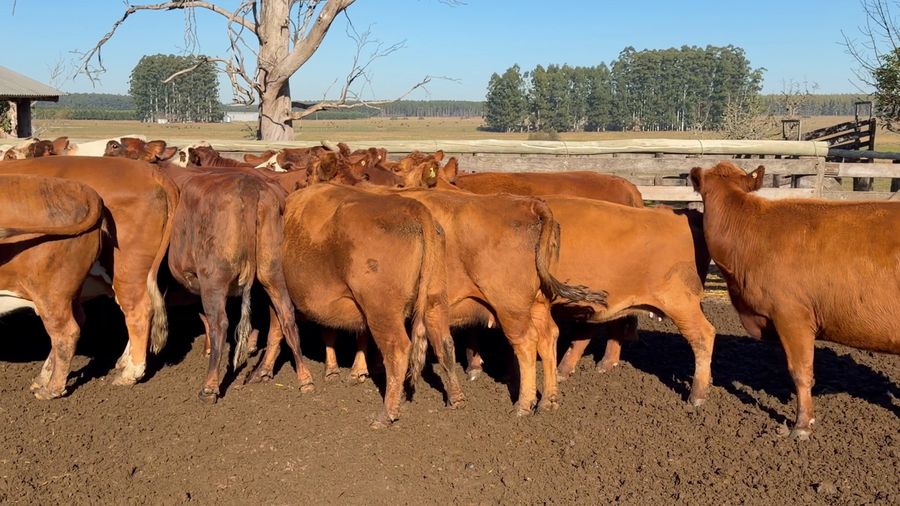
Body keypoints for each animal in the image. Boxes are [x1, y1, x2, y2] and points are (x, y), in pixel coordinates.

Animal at [167, 171, 309, 402]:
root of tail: (249, 185)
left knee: (219, 324)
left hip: (213, 280)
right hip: (272, 273)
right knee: (286, 316)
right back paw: (303, 379)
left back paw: (209, 388)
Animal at [248, 182, 466, 428]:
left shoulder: (274, 289)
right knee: (444, 343)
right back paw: (456, 398)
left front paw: (262, 372)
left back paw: (385, 415)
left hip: (382, 311)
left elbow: (276, 332)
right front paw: (334, 371)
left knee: (398, 350)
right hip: (434, 300)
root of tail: (412, 207)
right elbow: (330, 332)